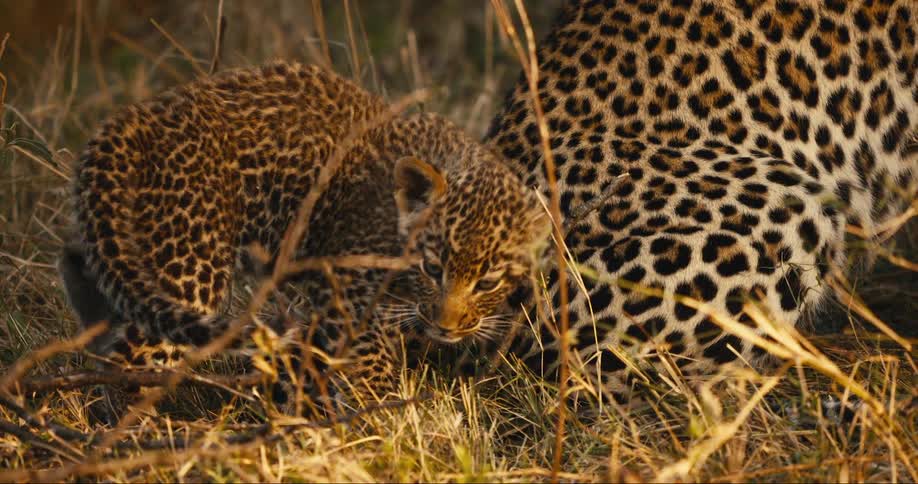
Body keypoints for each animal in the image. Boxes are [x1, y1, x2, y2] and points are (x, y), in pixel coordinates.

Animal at [58, 61, 549, 405]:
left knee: (83, 265)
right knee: (132, 359)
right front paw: (383, 423)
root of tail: (137, 118)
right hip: (189, 259)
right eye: (432, 268)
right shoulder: (346, 295)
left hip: (132, 238)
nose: (446, 328)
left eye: (487, 282)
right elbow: (371, 366)